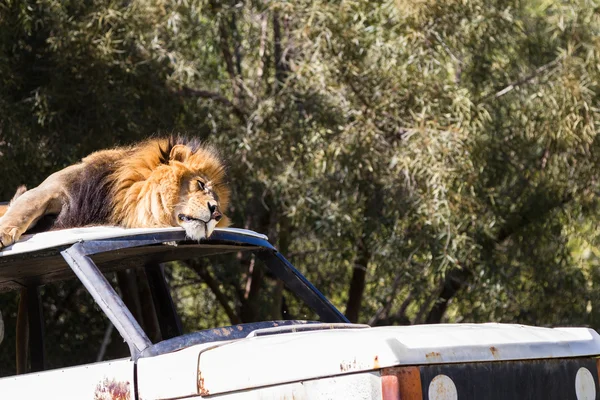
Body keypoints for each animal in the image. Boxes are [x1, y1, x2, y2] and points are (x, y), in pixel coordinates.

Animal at [0, 136, 230, 247]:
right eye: (200, 184)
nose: (216, 213)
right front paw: (3, 235)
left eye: (218, 201)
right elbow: (21, 212)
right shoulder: (51, 190)